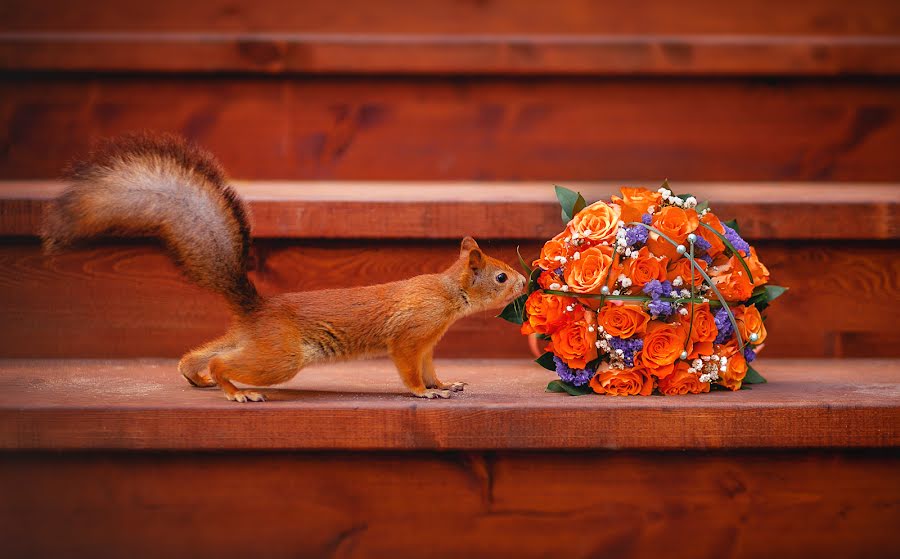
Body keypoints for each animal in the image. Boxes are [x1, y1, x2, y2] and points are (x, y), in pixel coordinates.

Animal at [44, 135, 528, 402]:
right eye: (501, 276)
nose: (526, 281)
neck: (448, 294)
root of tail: (256, 311)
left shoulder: (428, 343)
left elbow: (429, 367)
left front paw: (445, 384)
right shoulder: (411, 335)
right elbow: (409, 371)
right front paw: (425, 393)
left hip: (256, 343)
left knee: (207, 353)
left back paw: (196, 373)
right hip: (281, 356)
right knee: (222, 362)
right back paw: (237, 392)